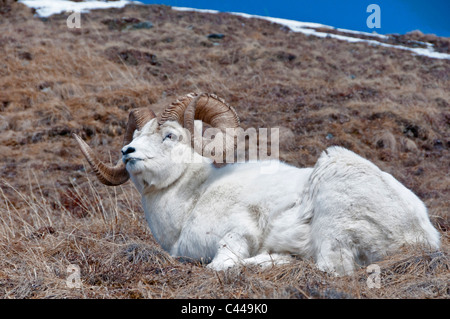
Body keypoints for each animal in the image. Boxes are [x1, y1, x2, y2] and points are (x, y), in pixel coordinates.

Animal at [74, 92, 440, 276]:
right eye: (135, 135)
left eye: (170, 135)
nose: (128, 153)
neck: (192, 200)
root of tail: (419, 234)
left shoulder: (237, 234)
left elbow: (221, 265)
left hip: (333, 211)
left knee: (330, 268)